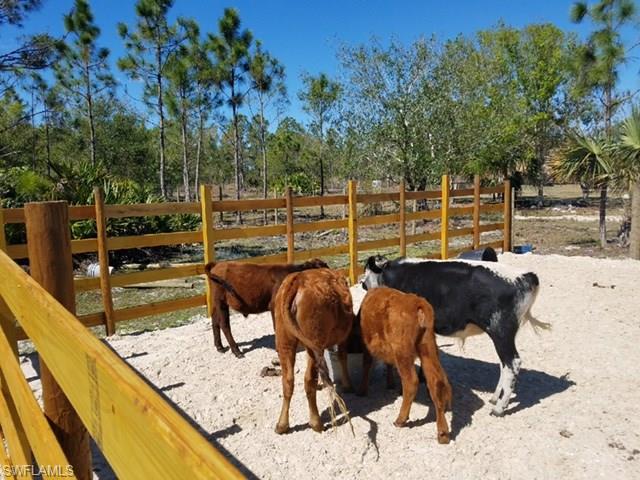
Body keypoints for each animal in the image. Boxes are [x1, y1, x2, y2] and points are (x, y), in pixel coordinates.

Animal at [361, 255, 549, 416]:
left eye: (366, 272)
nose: (362, 283)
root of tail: (526, 276)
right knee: (504, 365)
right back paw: (495, 397)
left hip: (501, 332)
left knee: (512, 363)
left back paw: (499, 407)